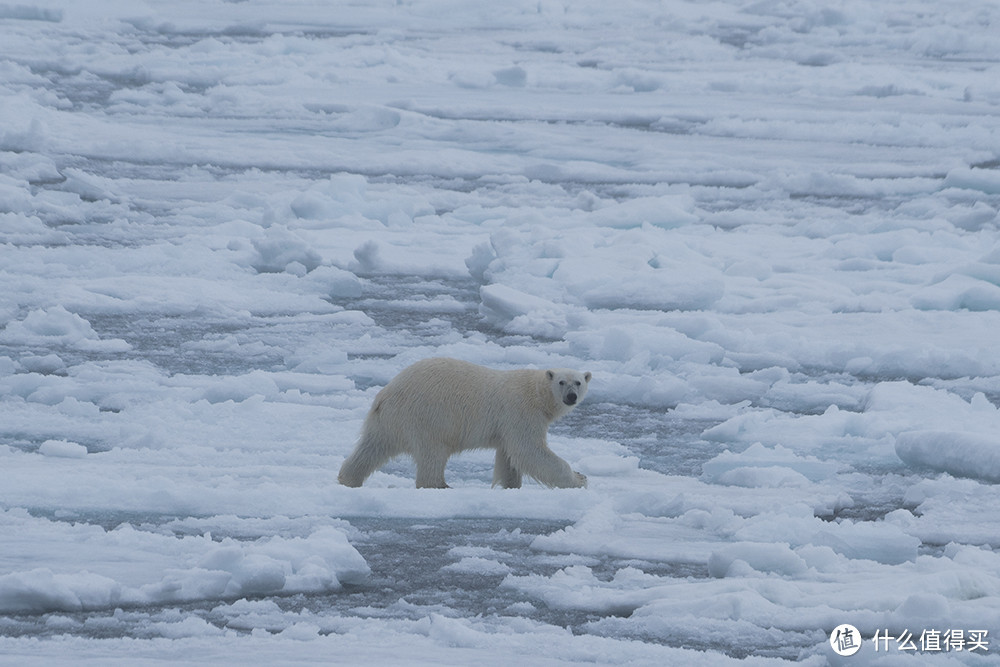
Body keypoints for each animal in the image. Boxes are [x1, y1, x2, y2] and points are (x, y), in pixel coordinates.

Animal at [342, 358, 592, 488]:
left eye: (578, 382)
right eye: (562, 382)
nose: (571, 397)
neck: (536, 393)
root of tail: (387, 393)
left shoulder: (507, 425)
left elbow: (509, 456)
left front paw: (511, 485)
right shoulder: (521, 411)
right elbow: (529, 449)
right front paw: (579, 479)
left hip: (386, 421)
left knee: (372, 447)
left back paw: (348, 478)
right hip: (428, 417)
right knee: (433, 453)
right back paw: (440, 485)